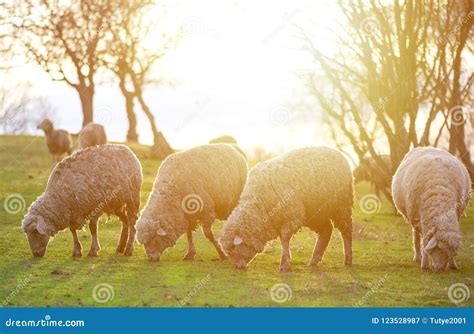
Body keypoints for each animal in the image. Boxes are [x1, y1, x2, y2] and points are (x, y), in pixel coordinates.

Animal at [220, 147, 354, 272]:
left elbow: (284, 238)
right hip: (316, 212)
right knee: (326, 230)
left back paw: (348, 259)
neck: (259, 205)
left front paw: (285, 264)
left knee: (346, 230)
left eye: (233, 248)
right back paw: (314, 260)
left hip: (342, 204)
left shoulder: (292, 215)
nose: (236, 266)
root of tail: (336, 151)